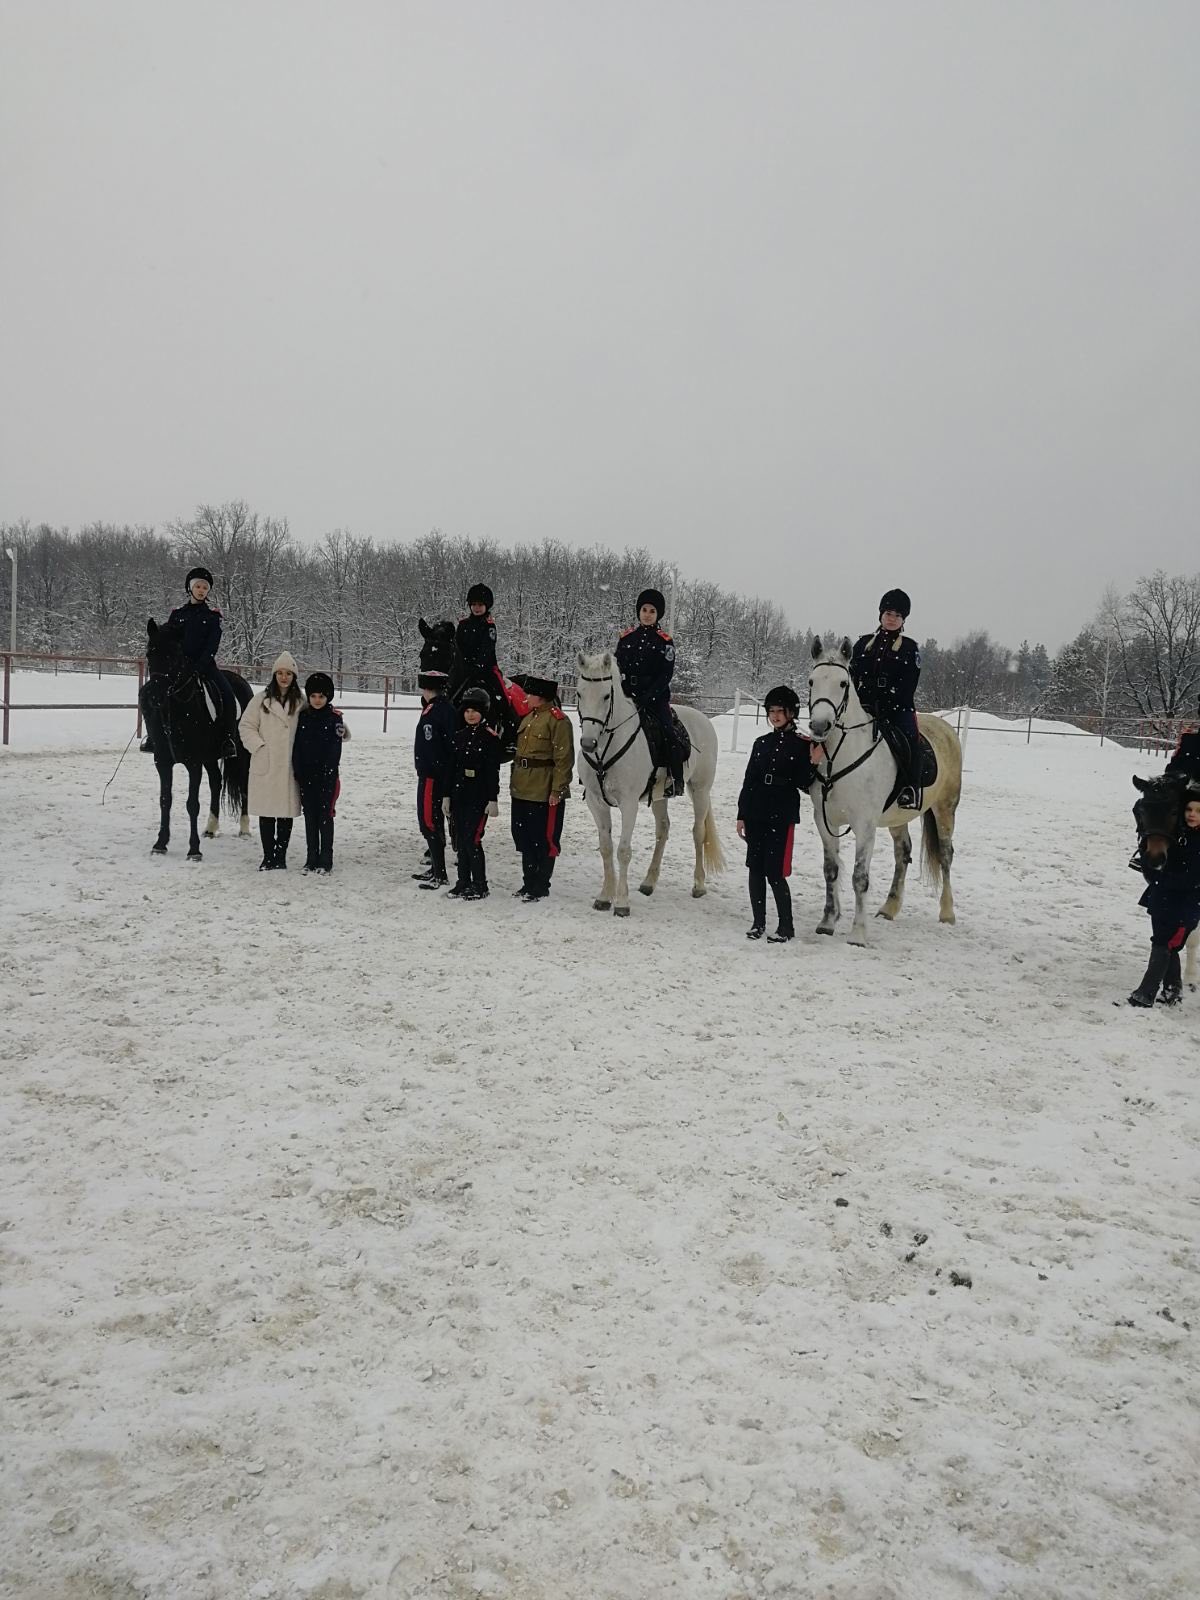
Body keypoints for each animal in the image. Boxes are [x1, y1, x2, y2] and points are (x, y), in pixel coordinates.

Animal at [140, 617, 254, 864]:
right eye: (149, 653)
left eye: (174, 655)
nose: (154, 696)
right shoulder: (163, 762)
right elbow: (165, 799)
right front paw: (160, 844)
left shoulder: (193, 763)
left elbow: (192, 804)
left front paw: (194, 850)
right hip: (210, 757)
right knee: (216, 781)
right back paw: (211, 828)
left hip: (242, 754)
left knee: (243, 783)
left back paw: (244, 828)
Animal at [579, 649, 729, 921]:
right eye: (579, 693)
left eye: (606, 695)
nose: (588, 743)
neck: (606, 751)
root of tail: (703, 719)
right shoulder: (596, 803)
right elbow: (606, 848)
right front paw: (605, 897)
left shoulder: (629, 804)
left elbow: (623, 851)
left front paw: (622, 903)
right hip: (660, 796)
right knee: (663, 830)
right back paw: (649, 882)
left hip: (700, 790)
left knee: (698, 833)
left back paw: (699, 885)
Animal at [809, 630, 966, 940]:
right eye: (812, 681)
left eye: (843, 683)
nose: (820, 726)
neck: (839, 755)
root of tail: (945, 729)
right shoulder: (825, 821)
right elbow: (831, 870)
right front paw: (828, 922)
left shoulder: (865, 824)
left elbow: (859, 877)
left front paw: (858, 934)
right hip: (898, 817)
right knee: (902, 853)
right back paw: (889, 908)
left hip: (945, 809)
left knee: (945, 855)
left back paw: (947, 913)